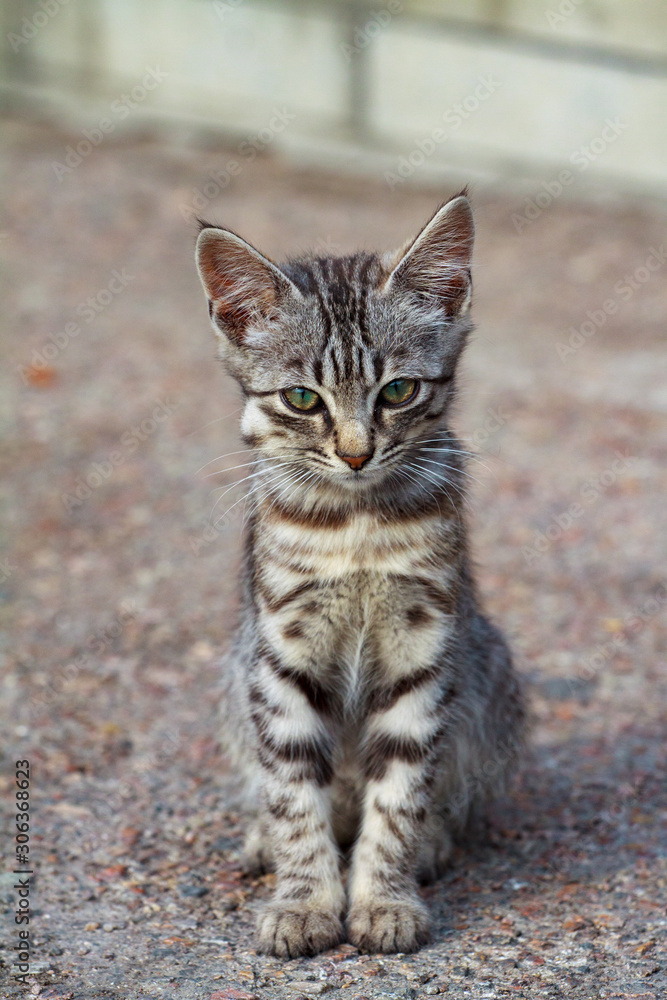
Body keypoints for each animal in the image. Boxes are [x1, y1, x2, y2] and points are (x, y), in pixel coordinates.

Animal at [193, 191, 528, 956]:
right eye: (302, 399)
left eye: (398, 390)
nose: (354, 454)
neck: (356, 526)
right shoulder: (280, 652)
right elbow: (294, 794)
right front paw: (305, 904)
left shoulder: (424, 645)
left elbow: (400, 794)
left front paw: (384, 900)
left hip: (487, 670)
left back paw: (432, 843)